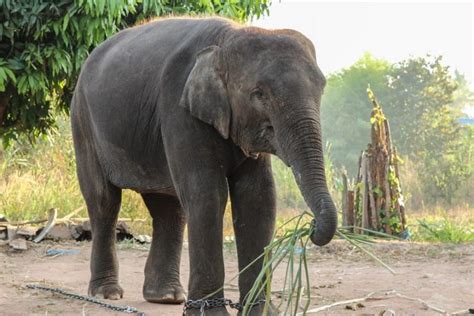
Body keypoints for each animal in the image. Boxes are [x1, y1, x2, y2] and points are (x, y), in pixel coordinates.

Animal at [70, 16, 336, 314]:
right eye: (259, 94)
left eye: (321, 88)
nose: (311, 227)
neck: (227, 38)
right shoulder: (179, 107)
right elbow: (208, 194)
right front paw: (209, 312)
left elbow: (259, 198)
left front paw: (259, 310)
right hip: (82, 121)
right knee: (104, 201)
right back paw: (108, 294)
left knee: (168, 207)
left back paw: (167, 297)